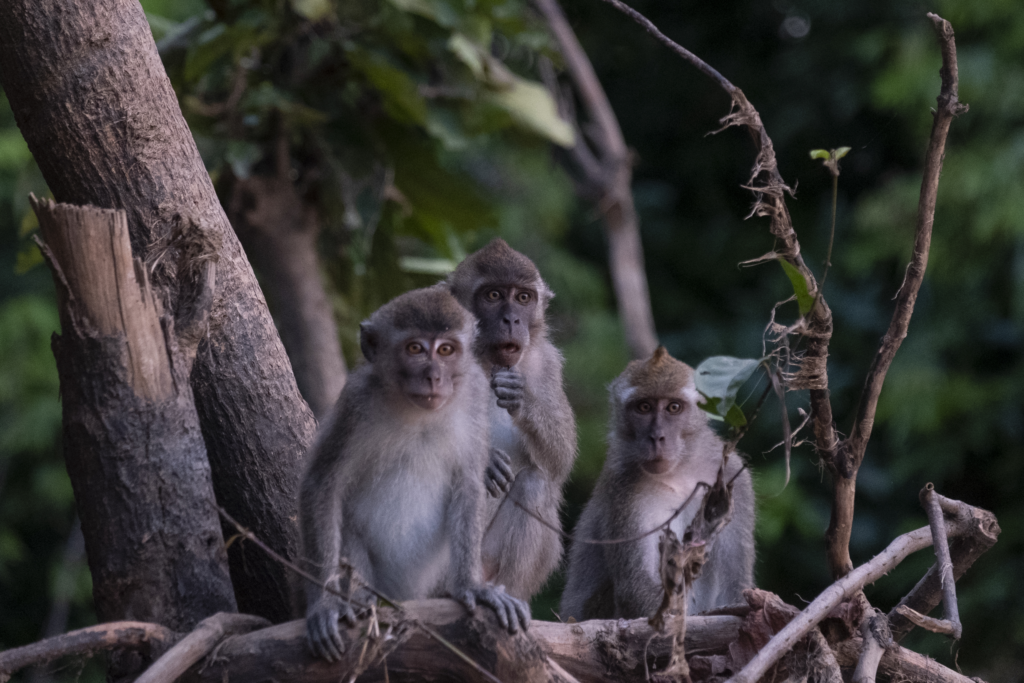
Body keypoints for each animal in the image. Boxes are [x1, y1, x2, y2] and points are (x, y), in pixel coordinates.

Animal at [299, 285, 530, 662]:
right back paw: (362, 601)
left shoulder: (474, 393)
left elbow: (468, 483)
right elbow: (322, 485)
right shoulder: (356, 402)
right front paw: (324, 604)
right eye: (415, 349)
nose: (434, 376)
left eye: (447, 350)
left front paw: (472, 586)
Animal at [447, 239, 577, 601]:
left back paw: (507, 593)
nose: (511, 320)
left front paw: (522, 401)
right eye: (493, 295)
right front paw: (488, 459)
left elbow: (560, 462)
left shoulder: (546, 363)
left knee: (536, 483)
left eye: (523, 298)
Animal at [560, 346, 755, 621]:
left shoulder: (733, 475)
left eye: (673, 407)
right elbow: (636, 591)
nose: (656, 437)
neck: (680, 471)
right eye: (643, 407)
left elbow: (736, 589)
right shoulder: (624, 488)